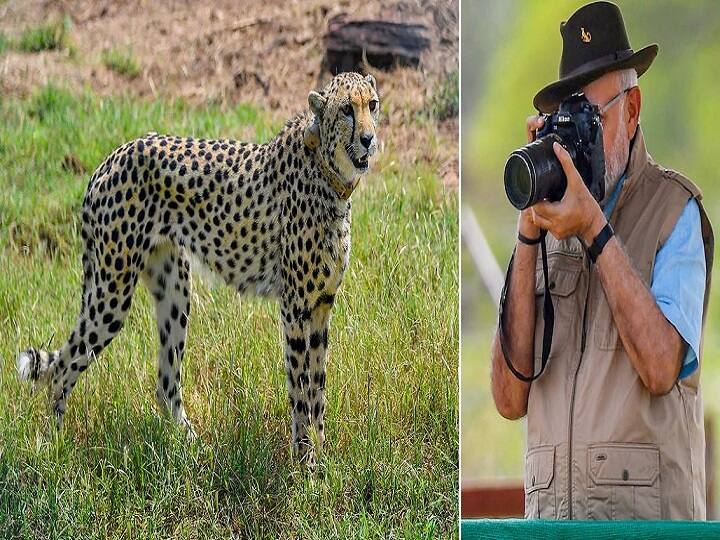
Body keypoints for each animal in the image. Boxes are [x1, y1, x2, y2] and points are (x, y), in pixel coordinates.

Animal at [16, 71, 380, 464]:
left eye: (372, 105)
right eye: (346, 110)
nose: (368, 139)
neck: (328, 171)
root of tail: (113, 156)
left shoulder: (322, 305)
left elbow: (318, 390)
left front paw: (322, 458)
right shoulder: (296, 306)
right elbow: (301, 391)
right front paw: (306, 462)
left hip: (174, 290)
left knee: (165, 382)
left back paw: (191, 447)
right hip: (112, 292)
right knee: (63, 367)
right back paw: (55, 446)